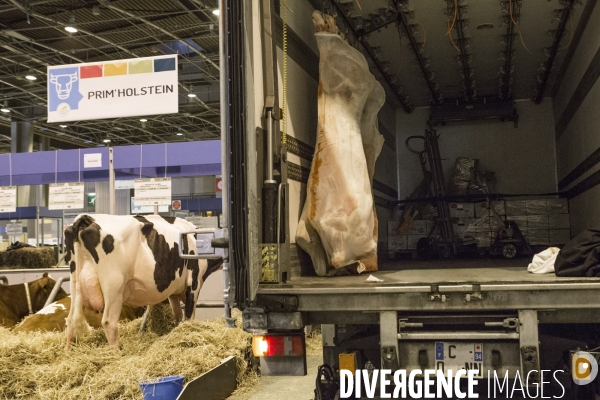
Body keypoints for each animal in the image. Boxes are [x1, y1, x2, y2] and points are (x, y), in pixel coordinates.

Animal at [64, 214, 223, 348]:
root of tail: (88, 218)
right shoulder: (194, 284)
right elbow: (189, 317)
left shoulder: (173, 291)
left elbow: (177, 316)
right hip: (114, 287)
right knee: (109, 322)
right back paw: (116, 352)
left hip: (76, 284)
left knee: (71, 321)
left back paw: (67, 352)